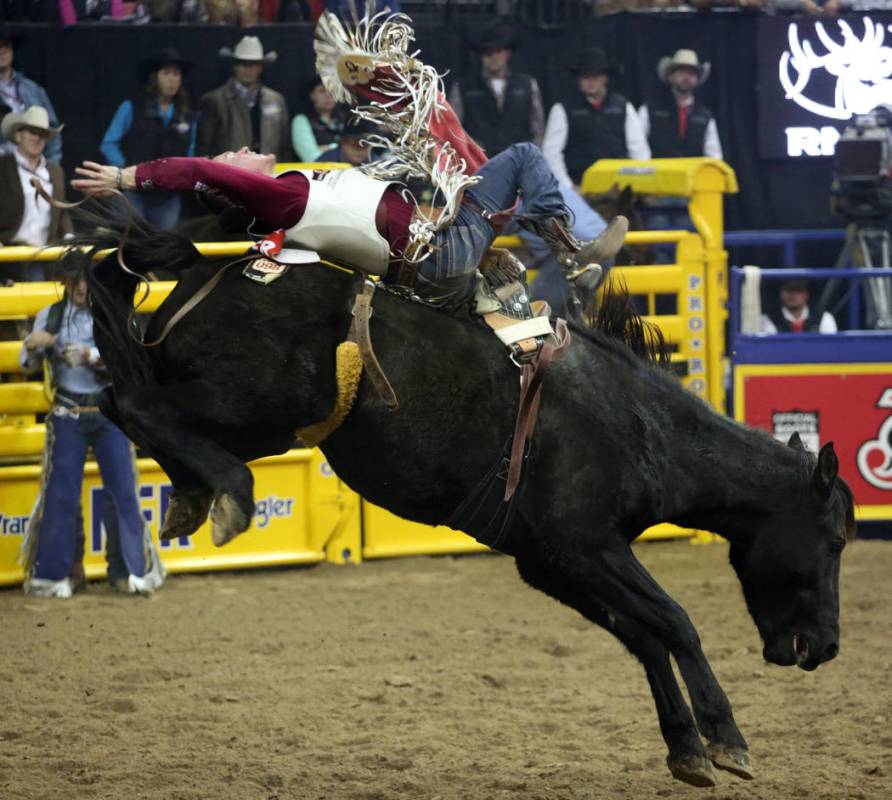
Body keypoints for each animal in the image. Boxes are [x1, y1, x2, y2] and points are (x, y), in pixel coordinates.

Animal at [75, 209, 856, 792]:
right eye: (836, 541)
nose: (825, 646)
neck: (640, 424)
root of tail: (212, 267)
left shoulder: (550, 563)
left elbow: (640, 635)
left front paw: (687, 749)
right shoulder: (587, 546)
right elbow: (675, 623)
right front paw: (726, 738)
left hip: (249, 413)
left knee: (129, 399)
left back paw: (191, 495)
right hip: (258, 405)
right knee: (131, 400)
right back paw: (228, 494)